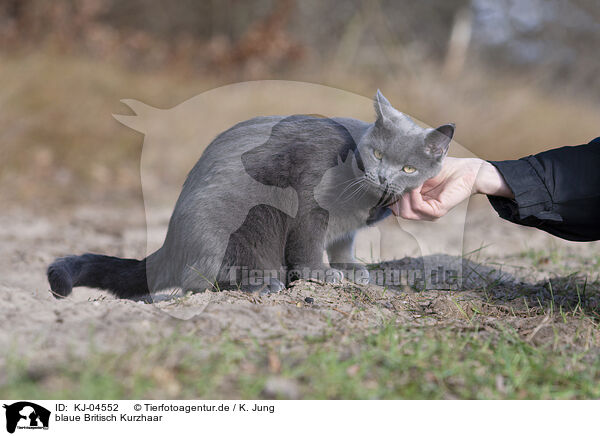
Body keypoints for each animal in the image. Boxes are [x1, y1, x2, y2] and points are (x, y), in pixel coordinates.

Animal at [48, 90, 454, 298]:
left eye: (408, 169)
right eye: (379, 155)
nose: (383, 177)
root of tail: (168, 246)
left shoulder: (347, 227)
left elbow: (343, 243)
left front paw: (351, 269)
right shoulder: (310, 205)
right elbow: (309, 245)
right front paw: (323, 274)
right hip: (242, 222)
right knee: (202, 279)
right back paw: (264, 283)